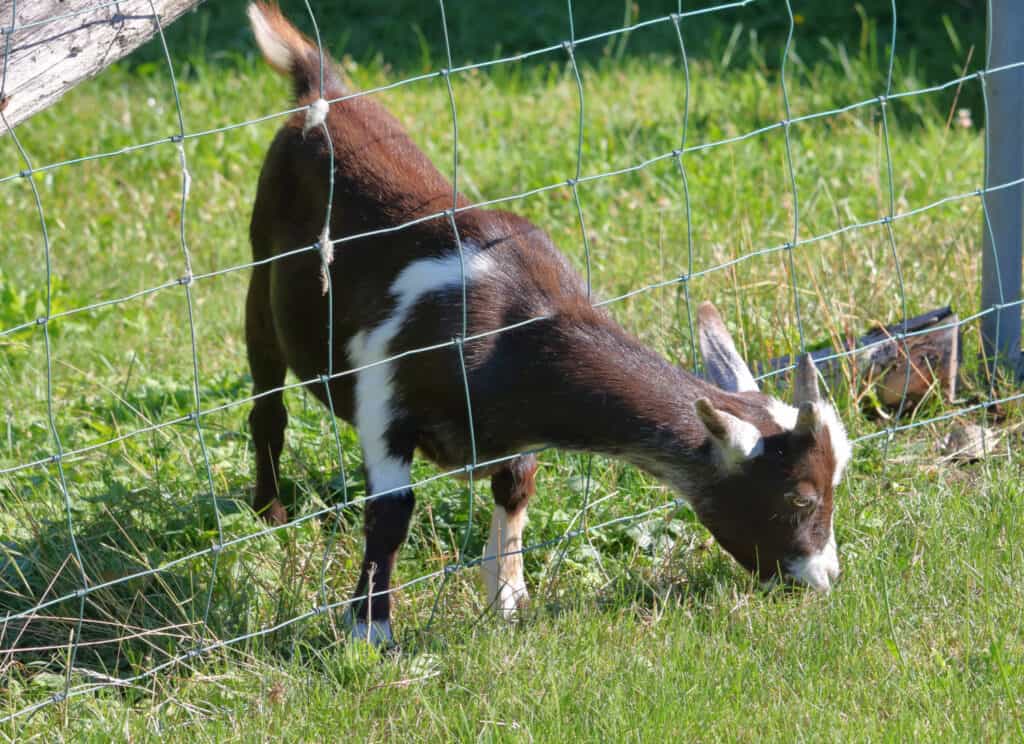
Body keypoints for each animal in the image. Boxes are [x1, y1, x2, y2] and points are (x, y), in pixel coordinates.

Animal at [245, 4, 847, 646]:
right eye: (801, 498)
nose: (824, 578)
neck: (510, 331)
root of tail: (322, 88)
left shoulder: (517, 436)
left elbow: (515, 493)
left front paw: (509, 602)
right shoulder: (386, 401)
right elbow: (391, 513)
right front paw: (370, 632)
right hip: (259, 275)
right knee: (268, 407)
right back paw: (269, 514)